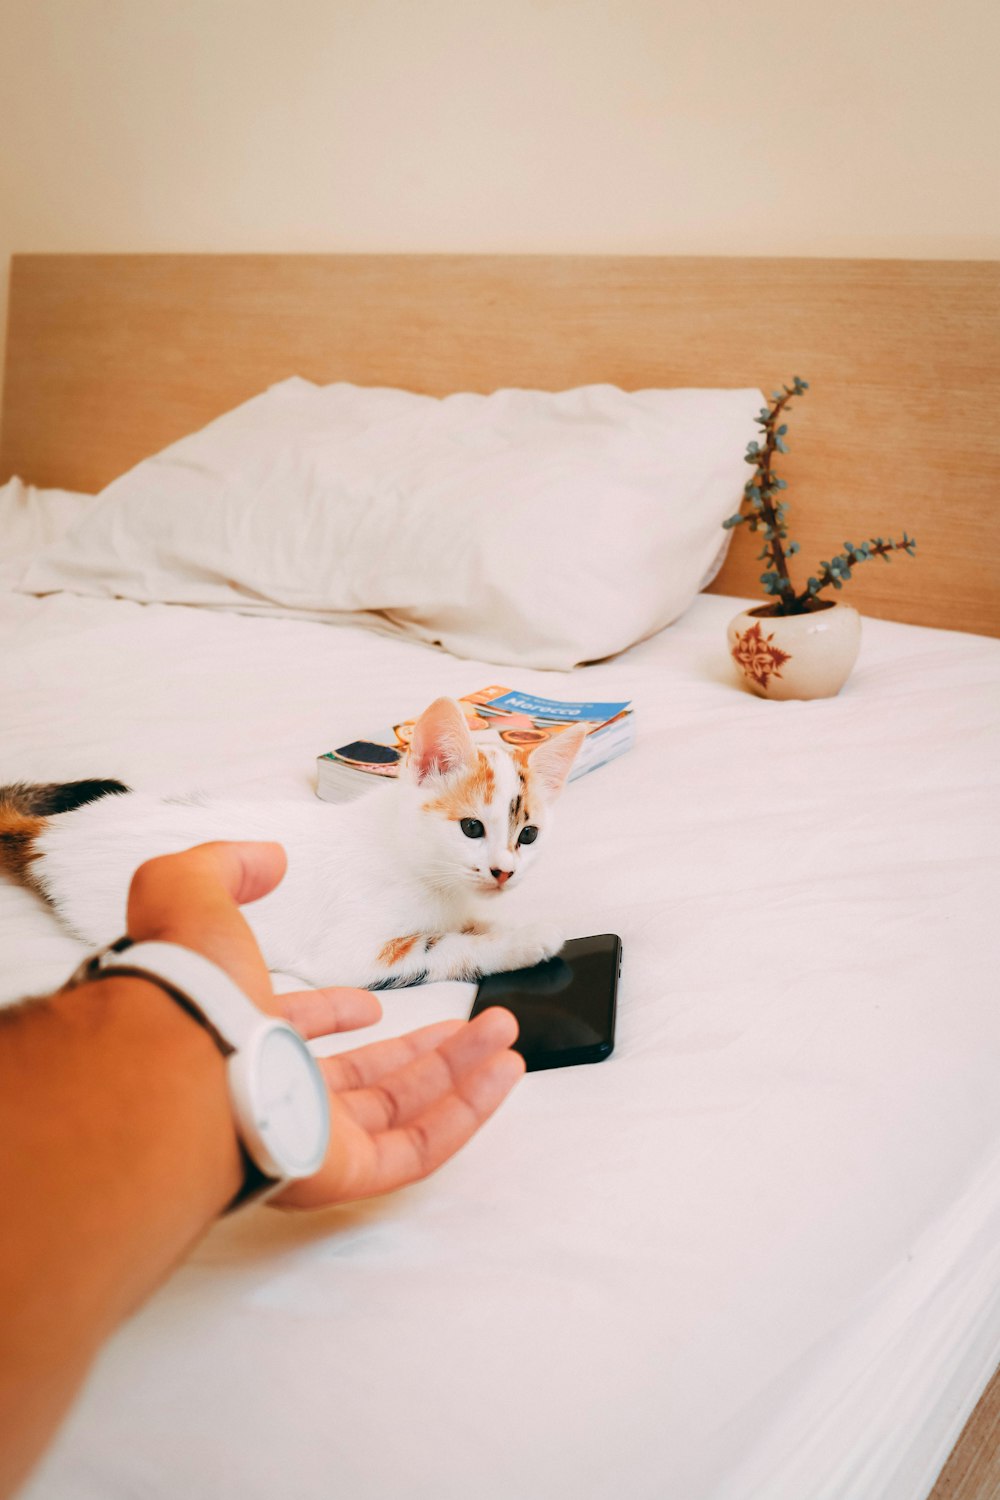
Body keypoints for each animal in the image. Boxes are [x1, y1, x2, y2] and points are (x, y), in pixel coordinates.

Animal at [0, 699, 581, 990]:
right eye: (471, 829)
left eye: (528, 835)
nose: (503, 871)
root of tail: (56, 833)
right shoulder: (353, 957)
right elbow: (444, 947)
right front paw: (528, 939)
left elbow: (467, 925)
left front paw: (501, 923)